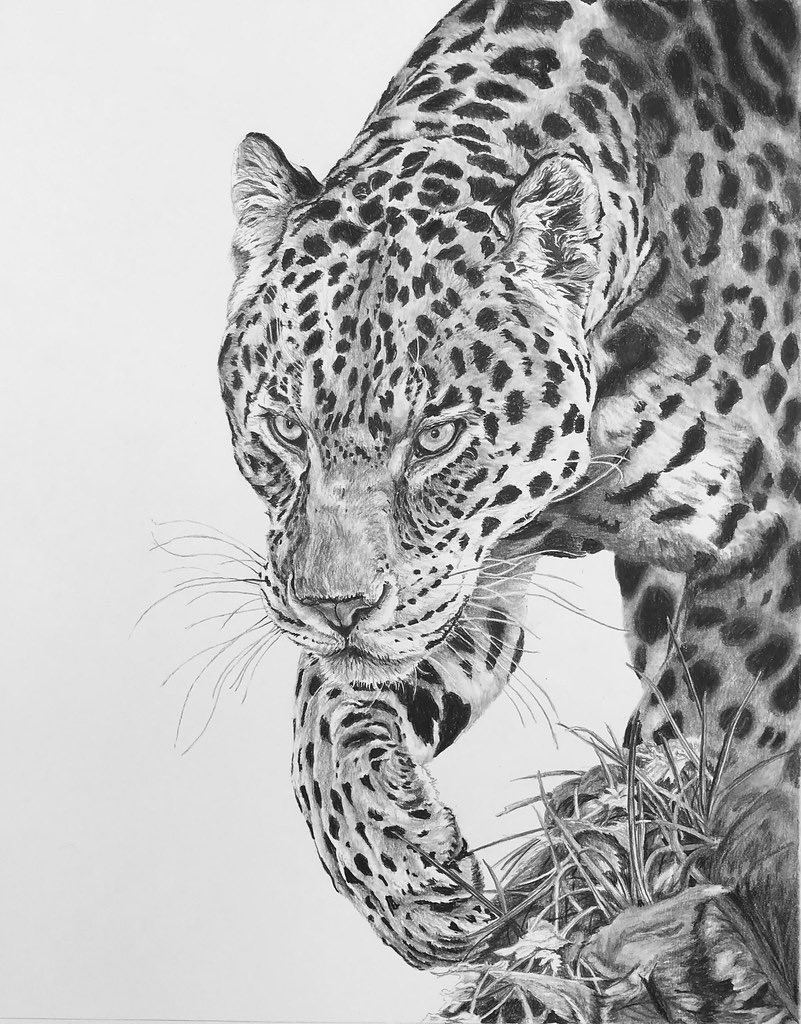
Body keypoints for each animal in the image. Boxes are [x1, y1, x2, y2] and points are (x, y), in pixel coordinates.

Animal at [218, 0, 801, 1009]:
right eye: (287, 429)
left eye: (437, 438)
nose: (334, 609)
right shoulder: (467, 572)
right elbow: (323, 716)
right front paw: (411, 879)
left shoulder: (774, 545)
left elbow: (691, 743)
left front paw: (571, 914)